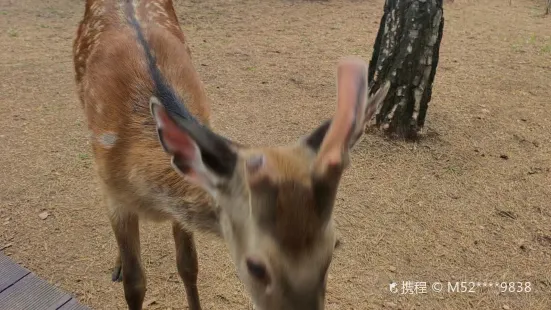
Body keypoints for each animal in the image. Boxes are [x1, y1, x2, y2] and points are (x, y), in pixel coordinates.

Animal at [73, 0, 390, 310]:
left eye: (333, 248)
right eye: (256, 267)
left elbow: (188, 265)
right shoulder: (114, 195)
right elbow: (135, 284)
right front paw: (126, 272)